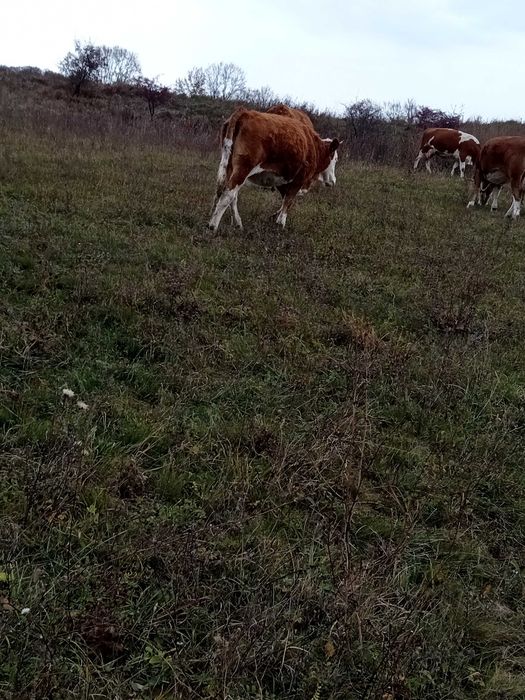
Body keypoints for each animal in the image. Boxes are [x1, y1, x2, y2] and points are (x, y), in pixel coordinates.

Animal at [208, 107, 340, 232]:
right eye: (335, 159)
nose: (333, 180)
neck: (313, 146)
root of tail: (244, 113)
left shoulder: (285, 181)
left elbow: (285, 201)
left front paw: (274, 218)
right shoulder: (298, 180)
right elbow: (288, 202)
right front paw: (280, 224)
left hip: (229, 166)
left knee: (229, 195)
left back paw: (237, 224)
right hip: (243, 168)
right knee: (228, 195)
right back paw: (213, 226)